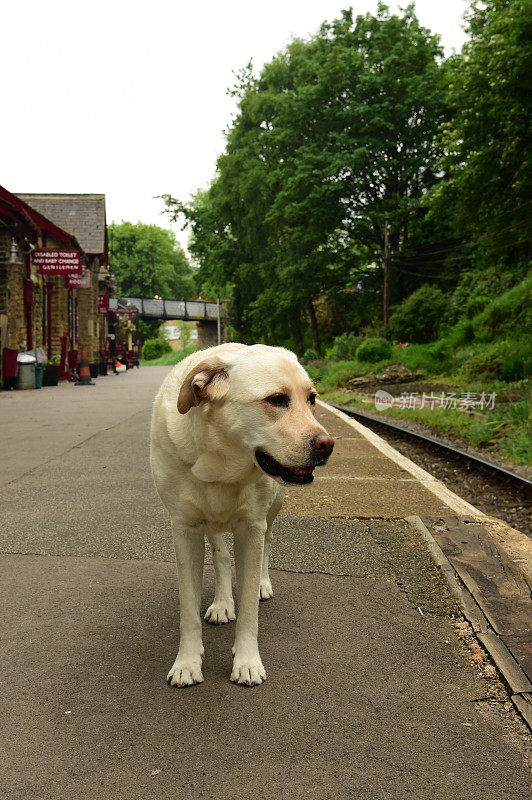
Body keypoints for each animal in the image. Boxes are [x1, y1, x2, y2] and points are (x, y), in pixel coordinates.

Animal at [150, 344, 332, 688]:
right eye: (277, 399)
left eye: (312, 398)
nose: (327, 445)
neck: (220, 463)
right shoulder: (184, 530)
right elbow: (188, 611)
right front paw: (187, 662)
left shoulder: (251, 528)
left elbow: (248, 608)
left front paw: (247, 661)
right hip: (211, 520)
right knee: (221, 554)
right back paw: (222, 603)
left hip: (273, 507)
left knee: (268, 543)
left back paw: (261, 583)